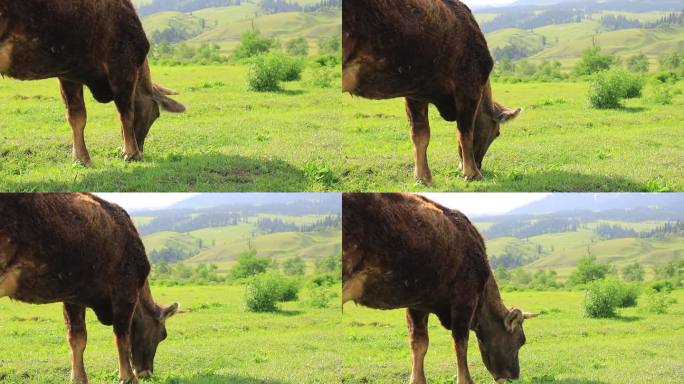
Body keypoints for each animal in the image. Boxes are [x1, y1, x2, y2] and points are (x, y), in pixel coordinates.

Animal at [0, 0, 187, 165]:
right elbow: (126, 113)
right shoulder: (122, 63)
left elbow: (77, 116)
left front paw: (81, 158)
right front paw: (132, 153)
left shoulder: (69, 73)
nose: (141, 149)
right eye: (156, 114)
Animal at [0, 195, 179, 384]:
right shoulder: (125, 289)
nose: (146, 372)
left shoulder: (73, 296)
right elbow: (122, 336)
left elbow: (77, 338)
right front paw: (128, 377)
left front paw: (79, 378)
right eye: (163, 335)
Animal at [342, 0, 524, 183]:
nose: (480, 166)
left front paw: (423, 177)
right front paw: (472, 173)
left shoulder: (415, 92)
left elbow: (420, 134)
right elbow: (465, 133)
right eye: (497, 133)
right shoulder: (469, 85)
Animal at [344, 195, 536, 384]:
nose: (514, 375)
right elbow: (460, 343)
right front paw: (465, 379)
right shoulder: (464, 299)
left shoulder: (417, 303)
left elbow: (419, 343)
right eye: (521, 340)